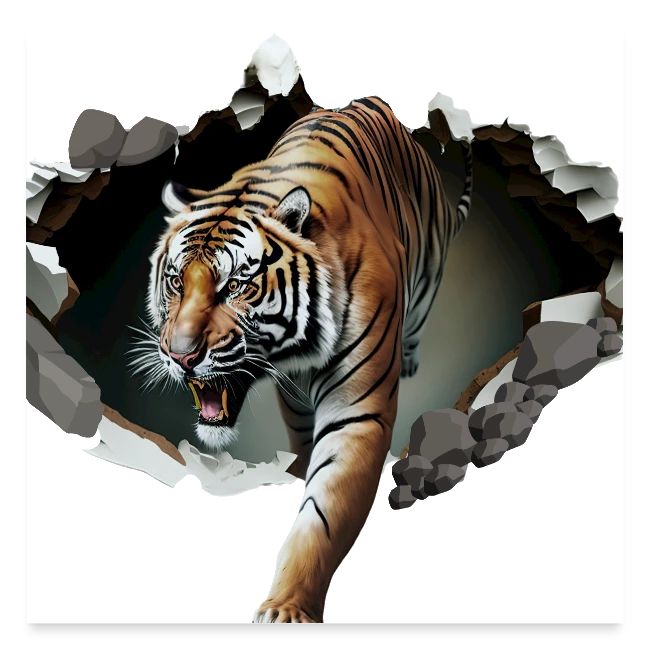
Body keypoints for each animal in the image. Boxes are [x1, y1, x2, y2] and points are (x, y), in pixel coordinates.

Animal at [143, 96, 473, 623]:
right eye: (175, 281)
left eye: (235, 286)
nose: (181, 354)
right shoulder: (295, 404)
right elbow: (302, 457)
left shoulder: (356, 415)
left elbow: (323, 514)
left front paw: (285, 608)